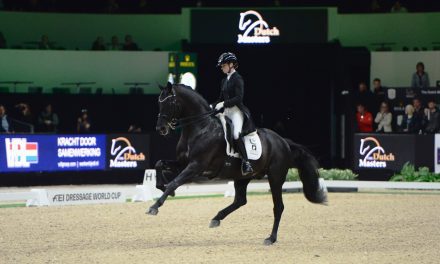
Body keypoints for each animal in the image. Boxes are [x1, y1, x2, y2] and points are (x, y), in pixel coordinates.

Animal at [148, 83, 326, 245]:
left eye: (170, 102)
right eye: (159, 103)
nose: (160, 128)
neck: (201, 128)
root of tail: (283, 141)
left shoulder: (196, 166)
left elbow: (175, 182)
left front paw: (155, 206)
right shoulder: (182, 163)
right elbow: (159, 164)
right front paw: (162, 188)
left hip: (275, 178)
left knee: (278, 207)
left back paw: (271, 238)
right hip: (243, 177)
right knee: (240, 200)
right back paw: (216, 218)